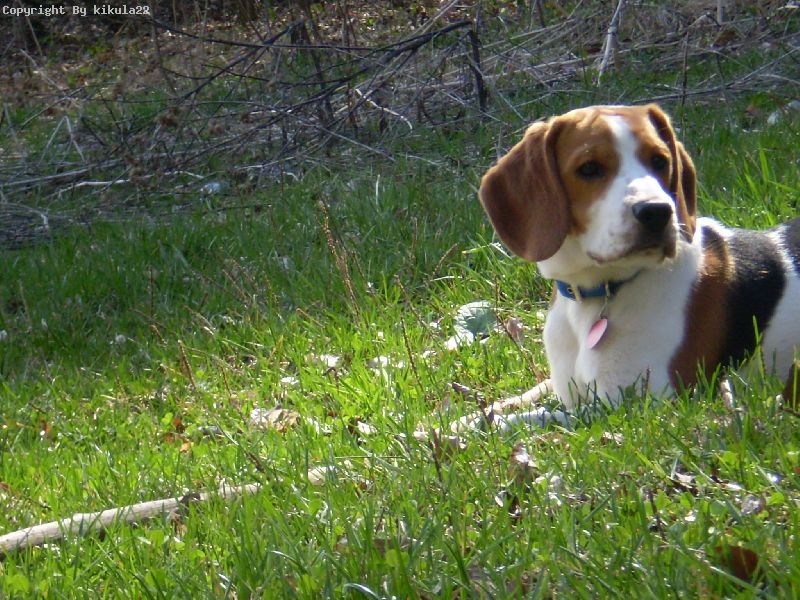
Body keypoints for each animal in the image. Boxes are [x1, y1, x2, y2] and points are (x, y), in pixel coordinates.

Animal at [478, 104, 800, 414]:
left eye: (659, 161)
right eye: (589, 168)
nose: (657, 211)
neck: (595, 297)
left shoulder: (631, 403)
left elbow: (535, 419)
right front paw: (480, 415)